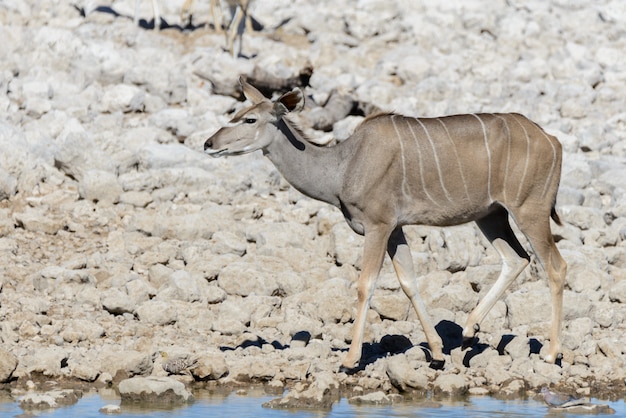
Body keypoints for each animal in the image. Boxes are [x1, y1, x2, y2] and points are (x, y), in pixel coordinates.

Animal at [205, 77, 564, 370]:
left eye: (250, 119)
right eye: (235, 113)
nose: (209, 144)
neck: (343, 166)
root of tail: (552, 140)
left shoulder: (377, 225)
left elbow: (365, 285)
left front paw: (350, 359)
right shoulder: (396, 229)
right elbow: (408, 282)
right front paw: (437, 352)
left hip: (529, 210)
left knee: (555, 267)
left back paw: (551, 353)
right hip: (491, 215)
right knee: (517, 259)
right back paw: (467, 331)